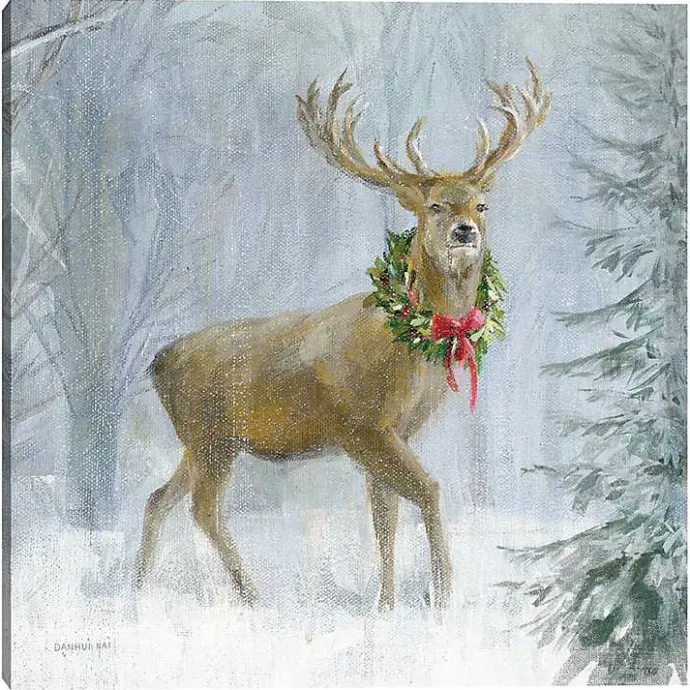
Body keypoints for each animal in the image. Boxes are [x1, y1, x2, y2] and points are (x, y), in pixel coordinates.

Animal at [134, 59, 551, 611]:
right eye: (435, 206)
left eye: (481, 204)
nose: (465, 231)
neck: (411, 350)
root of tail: (157, 362)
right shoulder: (363, 425)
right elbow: (427, 491)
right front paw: (441, 599)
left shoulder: (394, 432)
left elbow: (384, 516)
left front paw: (387, 606)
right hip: (210, 435)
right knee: (202, 509)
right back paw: (253, 597)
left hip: (202, 440)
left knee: (157, 498)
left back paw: (137, 590)